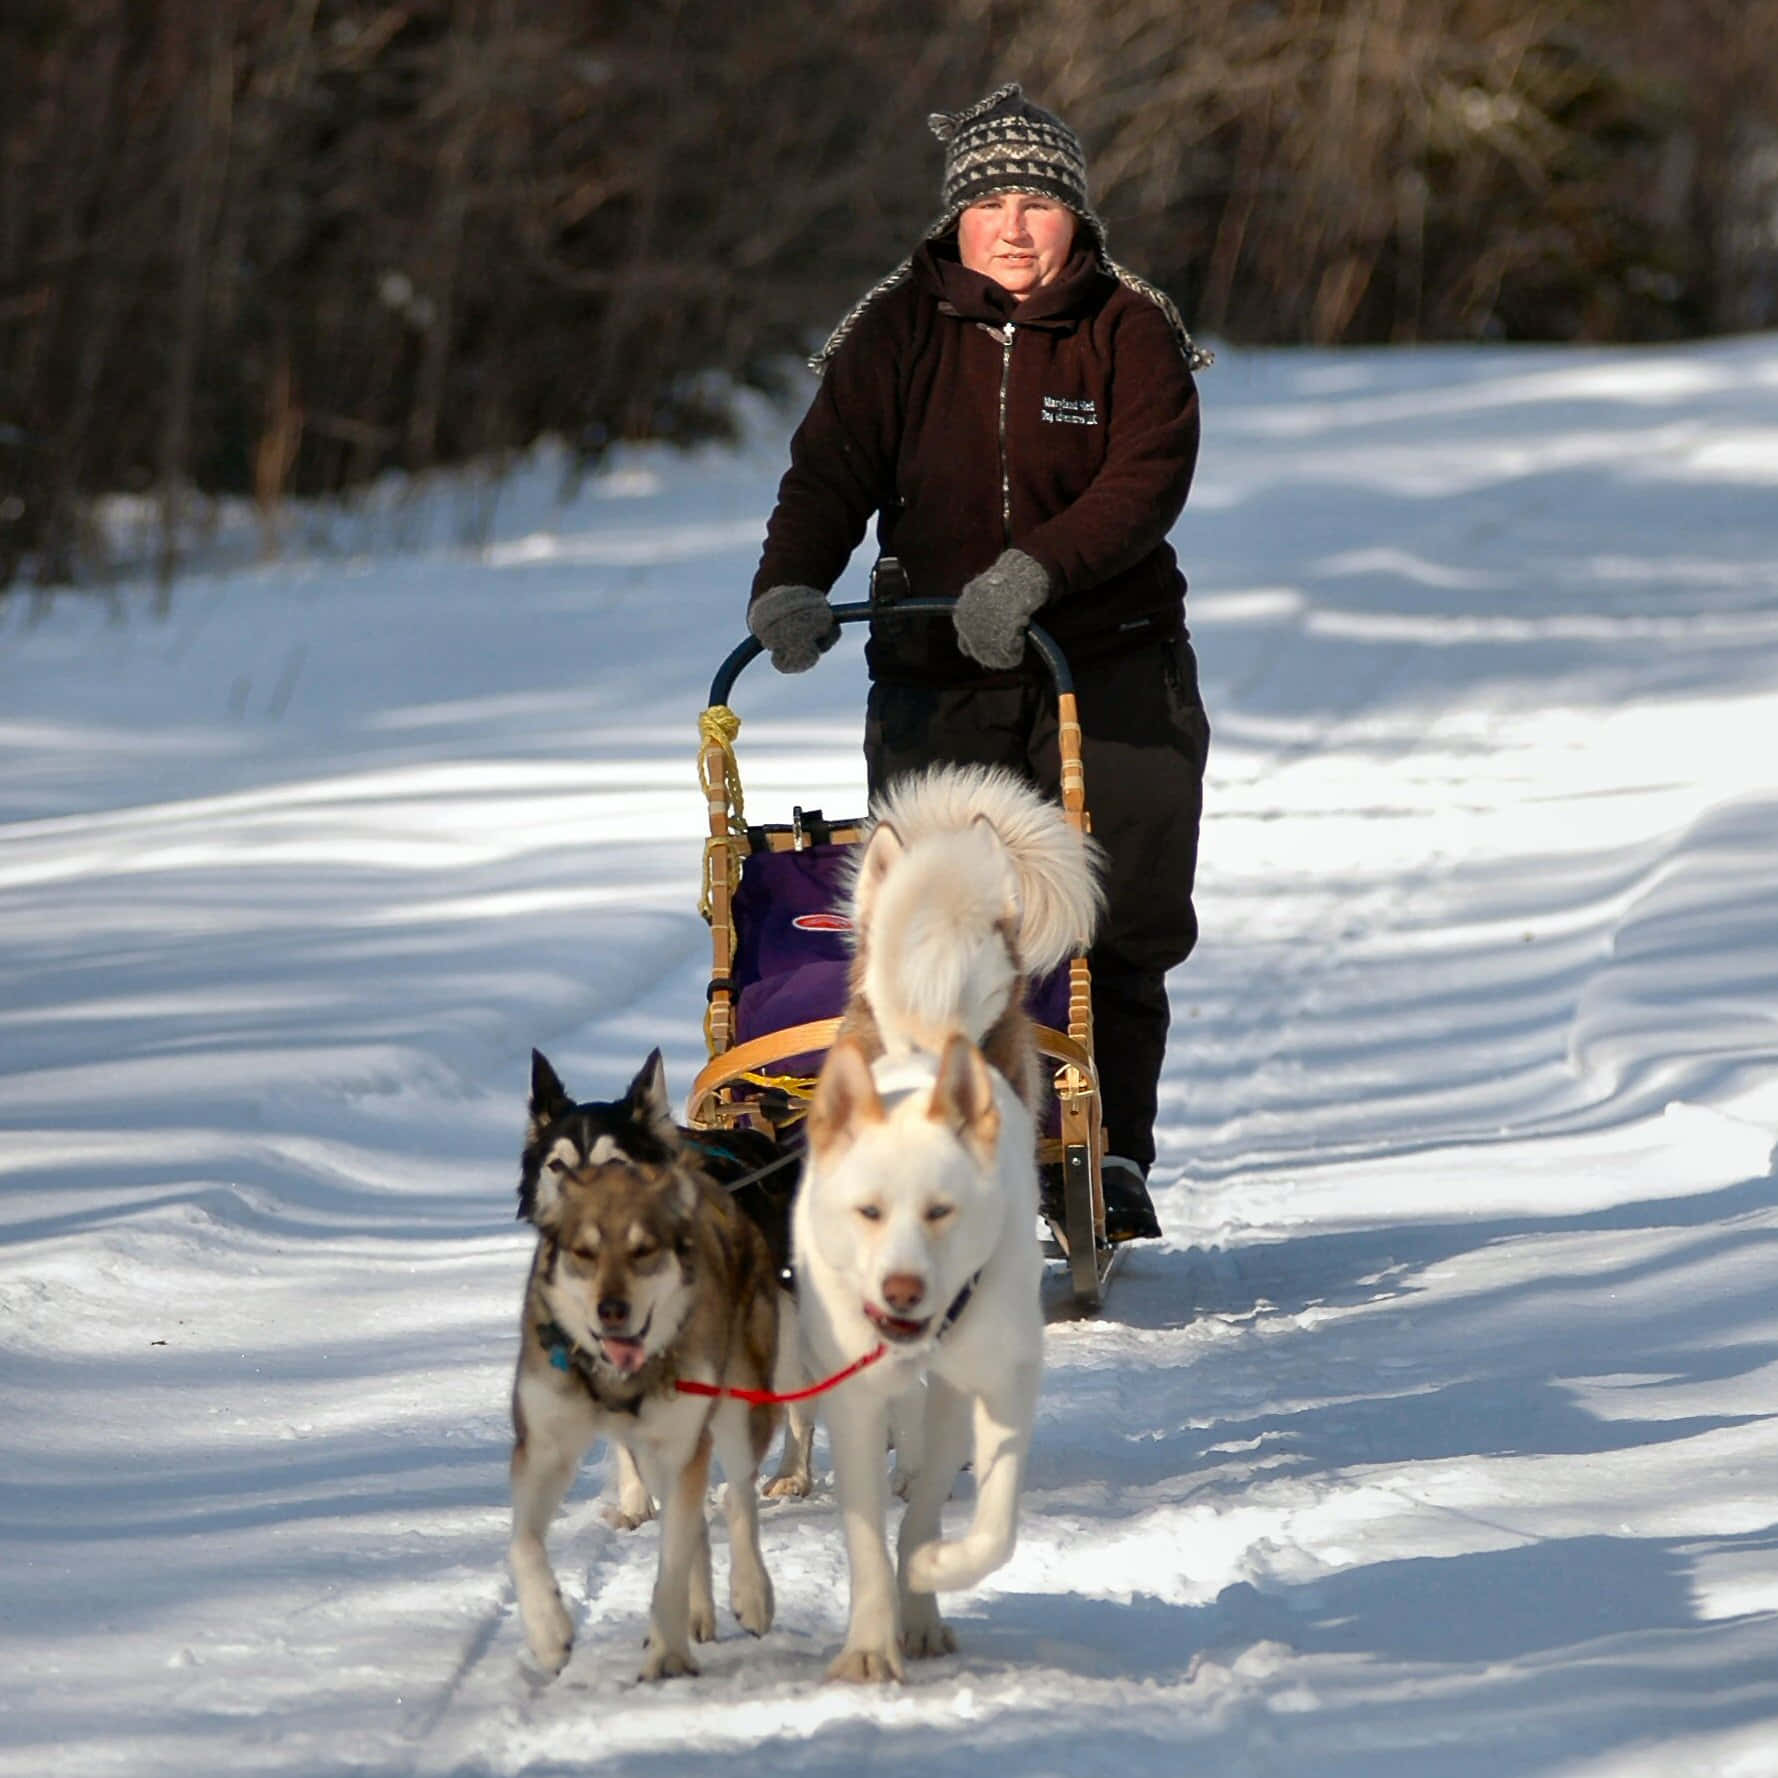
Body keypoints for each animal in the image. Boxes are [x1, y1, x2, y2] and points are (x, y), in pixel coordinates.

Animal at [800, 764, 1102, 1678]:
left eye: (945, 1210)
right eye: (868, 1210)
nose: (904, 1290)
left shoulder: (997, 1377)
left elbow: (971, 1524)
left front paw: (926, 1581)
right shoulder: (853, 1392)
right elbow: (868, 1532)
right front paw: (871, 1642)